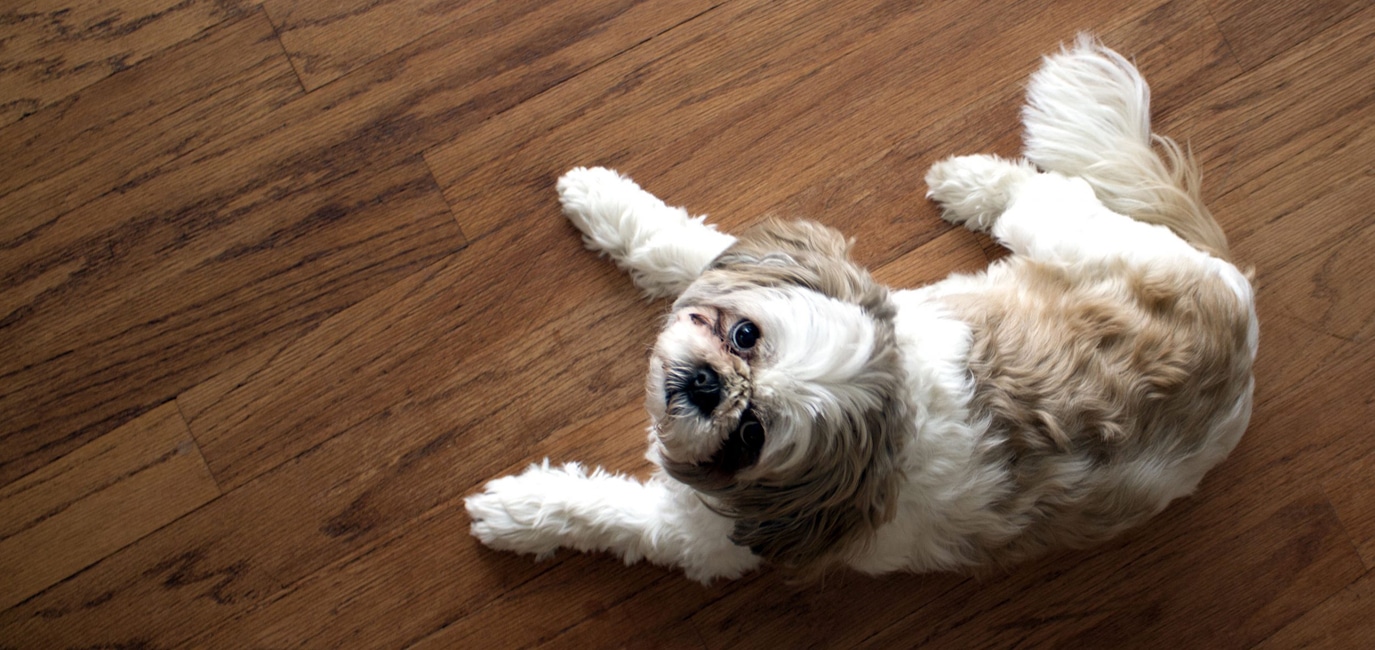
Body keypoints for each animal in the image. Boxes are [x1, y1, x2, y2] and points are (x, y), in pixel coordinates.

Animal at [462, 36, 1259, 582]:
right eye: (743, 334)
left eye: (751, 434)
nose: (707, 385)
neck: (883, 430)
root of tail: (1237, 299)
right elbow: (678, 245)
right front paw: (598, 198)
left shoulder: (703, 535)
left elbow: (610, 515)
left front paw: (515, 513)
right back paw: (968, 182)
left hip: (1065, 231)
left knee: (1048, 191)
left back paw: (973, 182)